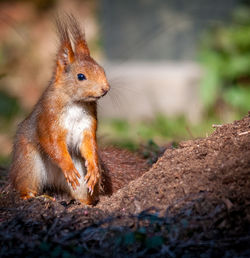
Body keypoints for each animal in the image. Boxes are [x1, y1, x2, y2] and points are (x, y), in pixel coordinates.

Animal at [9, 14, 109, 205]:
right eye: (81, 76)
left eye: (102, 69)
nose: (105, 89)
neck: (76, 103)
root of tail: (55, 180)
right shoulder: (49, 120)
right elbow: (53, 144)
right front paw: (67, 167)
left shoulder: (87, 126)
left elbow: (89, 145)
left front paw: (94, 168)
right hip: (29, 164)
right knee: (25, 184)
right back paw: (30, 195)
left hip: (79, 179)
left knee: (81, 189)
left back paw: (85, 202)